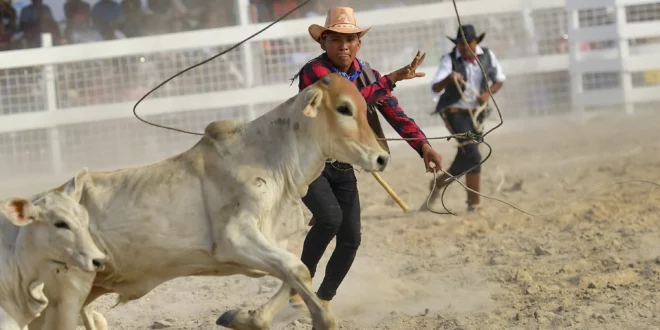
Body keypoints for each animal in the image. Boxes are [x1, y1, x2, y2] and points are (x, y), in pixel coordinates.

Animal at [31, 73, 390, 330]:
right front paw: (323, 320)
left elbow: (296, 273)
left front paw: (245, 317)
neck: (269, 157)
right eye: (344, 108)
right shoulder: (236, 238)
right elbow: (298, 270)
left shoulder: (272, 241)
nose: (382, 158)